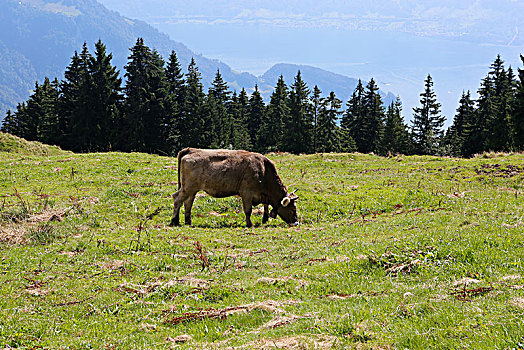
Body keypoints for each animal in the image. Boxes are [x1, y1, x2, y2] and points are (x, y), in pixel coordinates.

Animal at [169, 147, 298, 227]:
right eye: (293, 209)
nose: (296, 223)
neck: (264, 170)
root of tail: (191, 150)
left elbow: (265, 206)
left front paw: (264, 219)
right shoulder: (246, 193)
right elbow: (248, 210)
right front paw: (249, 224)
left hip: (191, 189)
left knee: (188, 203)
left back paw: (188, 221)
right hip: (187, 187)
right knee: (177, 199)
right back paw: (174, 221)